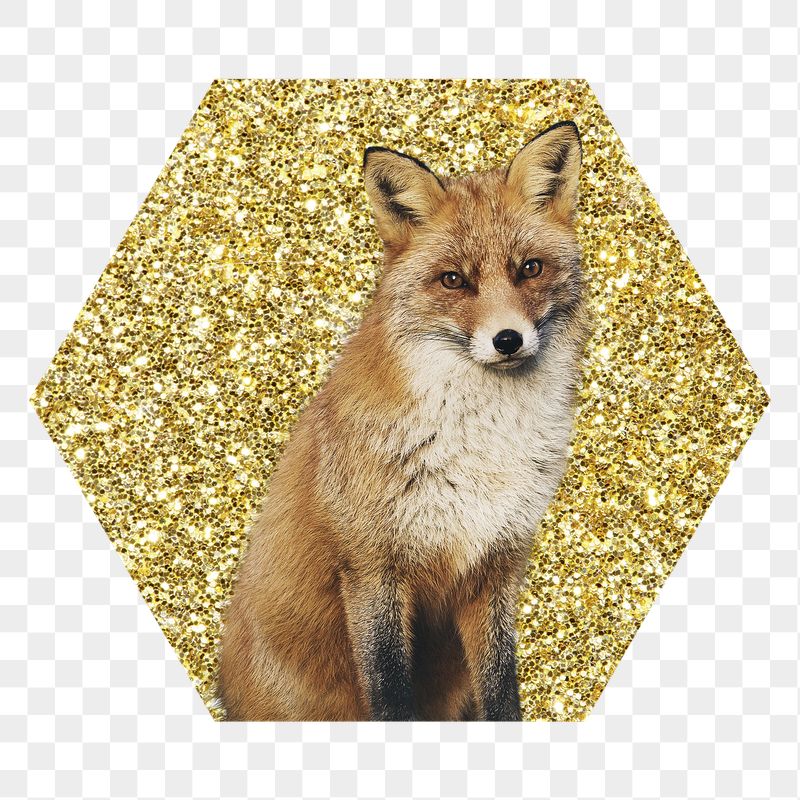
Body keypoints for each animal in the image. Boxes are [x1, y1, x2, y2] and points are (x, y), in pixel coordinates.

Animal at [217, 120, 591, 721]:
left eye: (530, 269)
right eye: (453, 280)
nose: (508, 340)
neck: (481, 445)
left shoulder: (496, 565)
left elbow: (503, 693)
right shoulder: (373, 567)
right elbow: (391, 694)